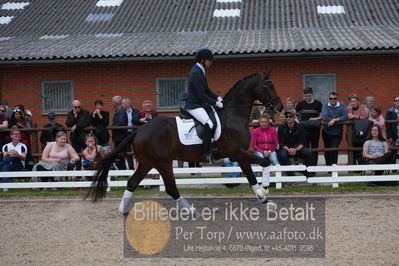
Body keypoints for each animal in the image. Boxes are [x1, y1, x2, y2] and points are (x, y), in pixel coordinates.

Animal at [88, 72, 284, 214]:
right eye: (269, 86)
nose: (280, 107)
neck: (233, 115)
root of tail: (138, 130)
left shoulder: (241, 154)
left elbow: (251, 176)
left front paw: (265, 200)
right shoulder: (236, 152)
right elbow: (264, 162)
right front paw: (265, 189)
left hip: (146, 162)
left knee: (132, 182)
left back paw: (123, 210)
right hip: (162, 162)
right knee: (170, 188)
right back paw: (191, 210)